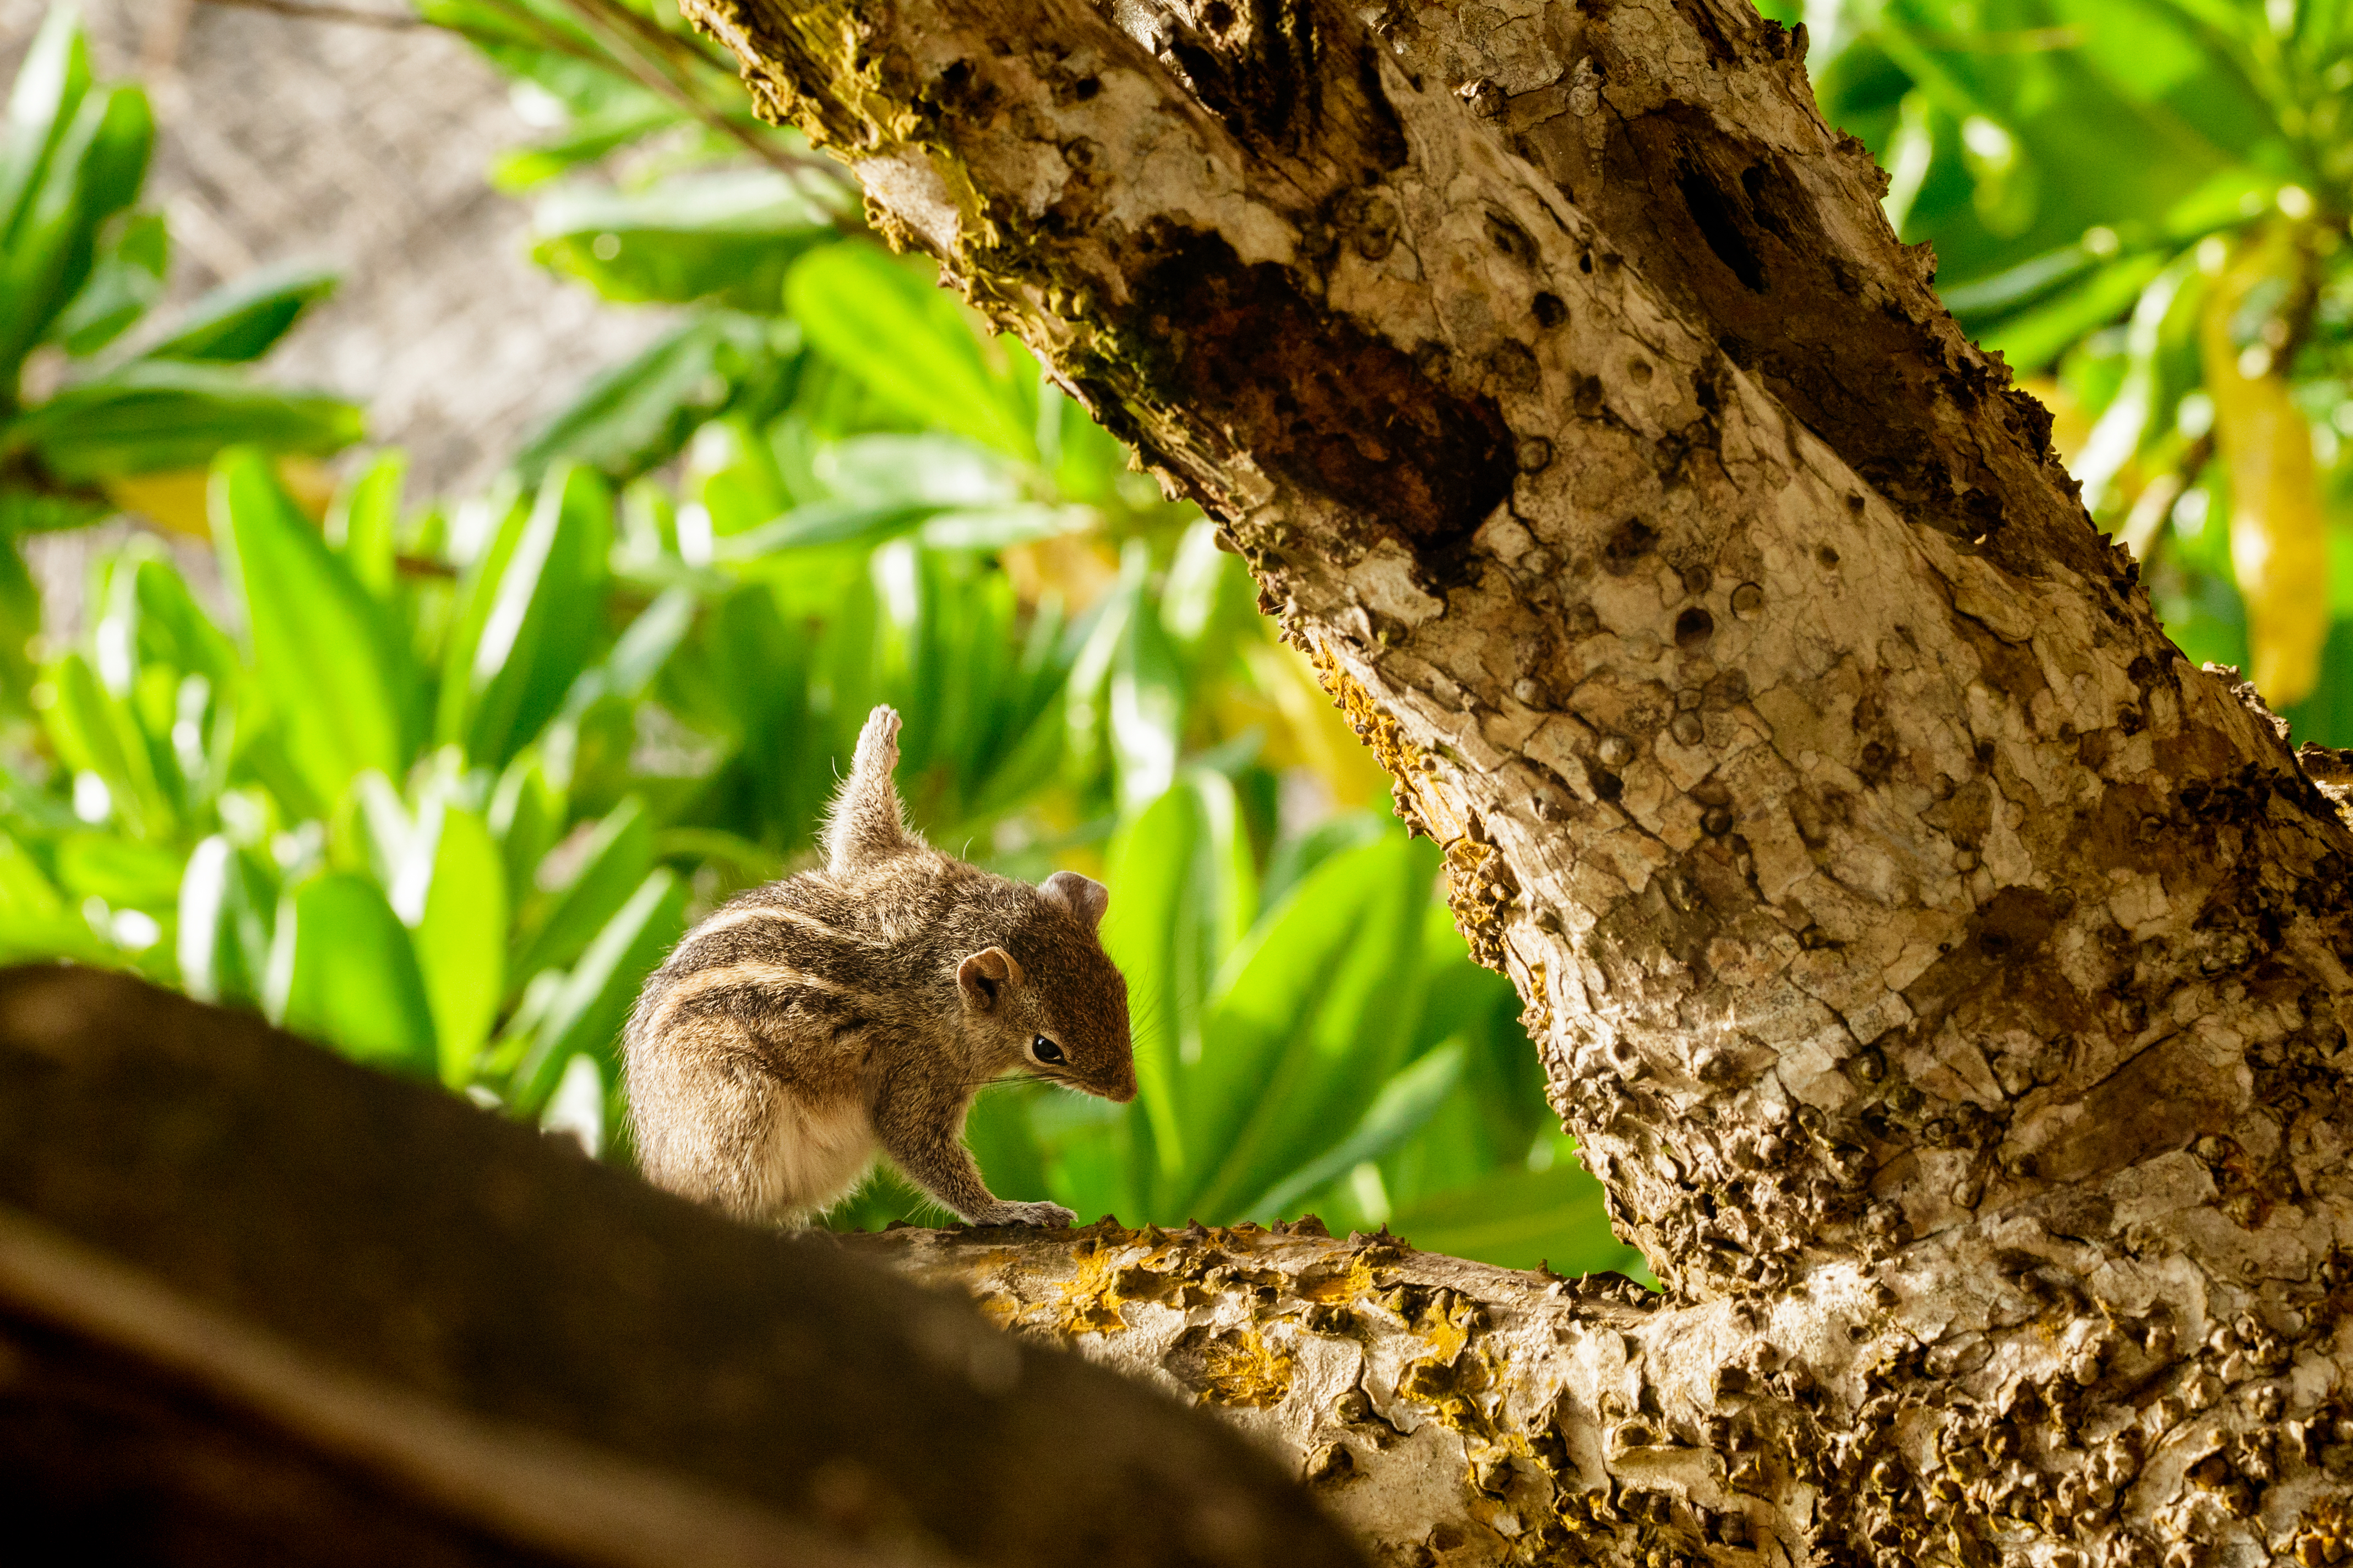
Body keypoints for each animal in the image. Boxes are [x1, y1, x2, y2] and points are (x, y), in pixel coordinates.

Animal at [621, 705, 1134, 1232]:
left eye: (1122, 990)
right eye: (1047, 1049)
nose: (1128, 1092)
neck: (940, 943)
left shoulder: (894, 864)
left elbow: (859, 821)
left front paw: (880, 736)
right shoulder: (918, 1073)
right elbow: (919, 1149)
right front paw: (1011, 1210)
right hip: (738, 1110)